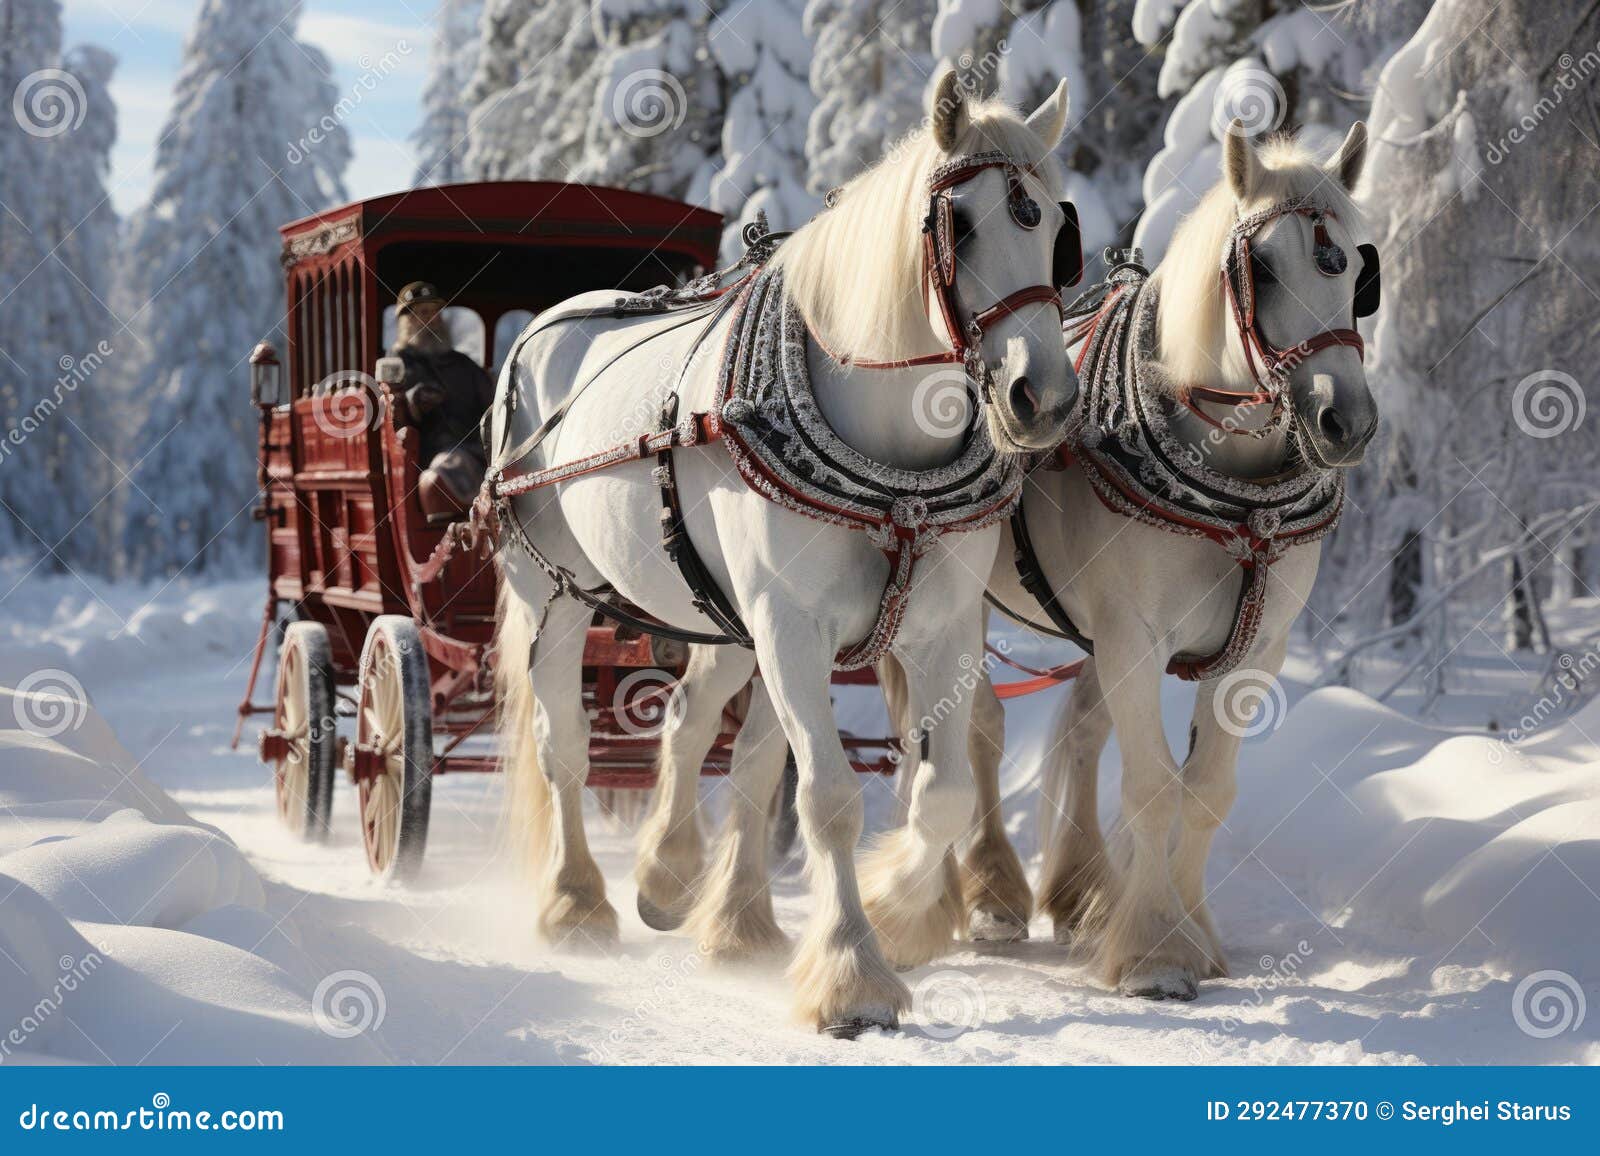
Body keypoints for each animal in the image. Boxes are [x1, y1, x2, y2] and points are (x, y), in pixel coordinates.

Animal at [491, 70, 1080, 1036]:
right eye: (958, 224)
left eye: (1057, 230)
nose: (1044, 398)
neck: (898, 472)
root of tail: (547, 323)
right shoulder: (791, 624)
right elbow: (828, 797)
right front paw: (852, 975)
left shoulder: (938, 627)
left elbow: (940, 792)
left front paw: (895, 912)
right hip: (558, 594)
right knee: (565, 745)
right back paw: (577, 902)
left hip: (728, 619)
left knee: (699, 727)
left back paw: (690, 891)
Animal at [680, 121, 1380, 1004]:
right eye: (1265, 267)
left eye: (1356, 268)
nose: (1344, 421)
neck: (1241, 494)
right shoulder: (1134, 634)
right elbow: (1153, 787)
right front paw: (1154, 952)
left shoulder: (1256, 648)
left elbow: (1207, 792)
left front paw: (1190, 931)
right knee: (973, 730)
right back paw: (980, 894)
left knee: (1070, 729)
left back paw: (1073, 892)